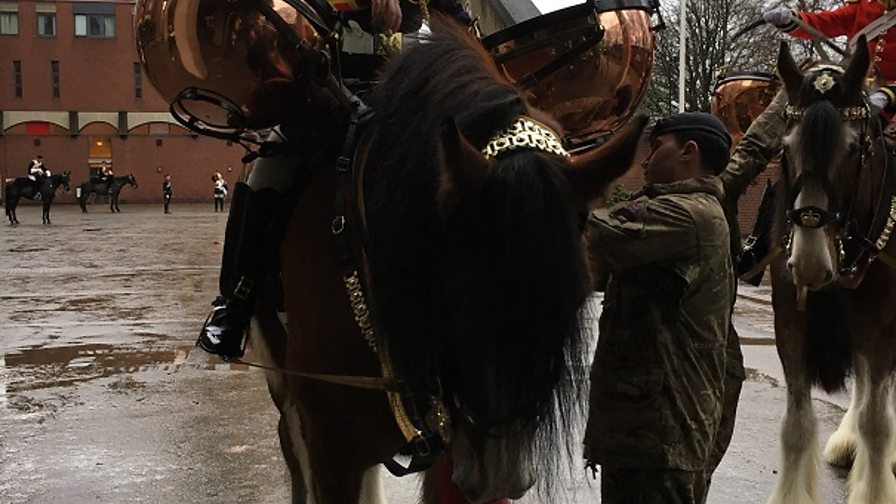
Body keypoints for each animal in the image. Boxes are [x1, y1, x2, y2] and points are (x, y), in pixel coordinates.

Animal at [768, 36, 896, 504]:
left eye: (854, 149)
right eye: (784, 149)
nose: (809, 264)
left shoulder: (881, 328)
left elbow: (877, 426)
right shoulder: (790, 322)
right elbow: (795, 426)